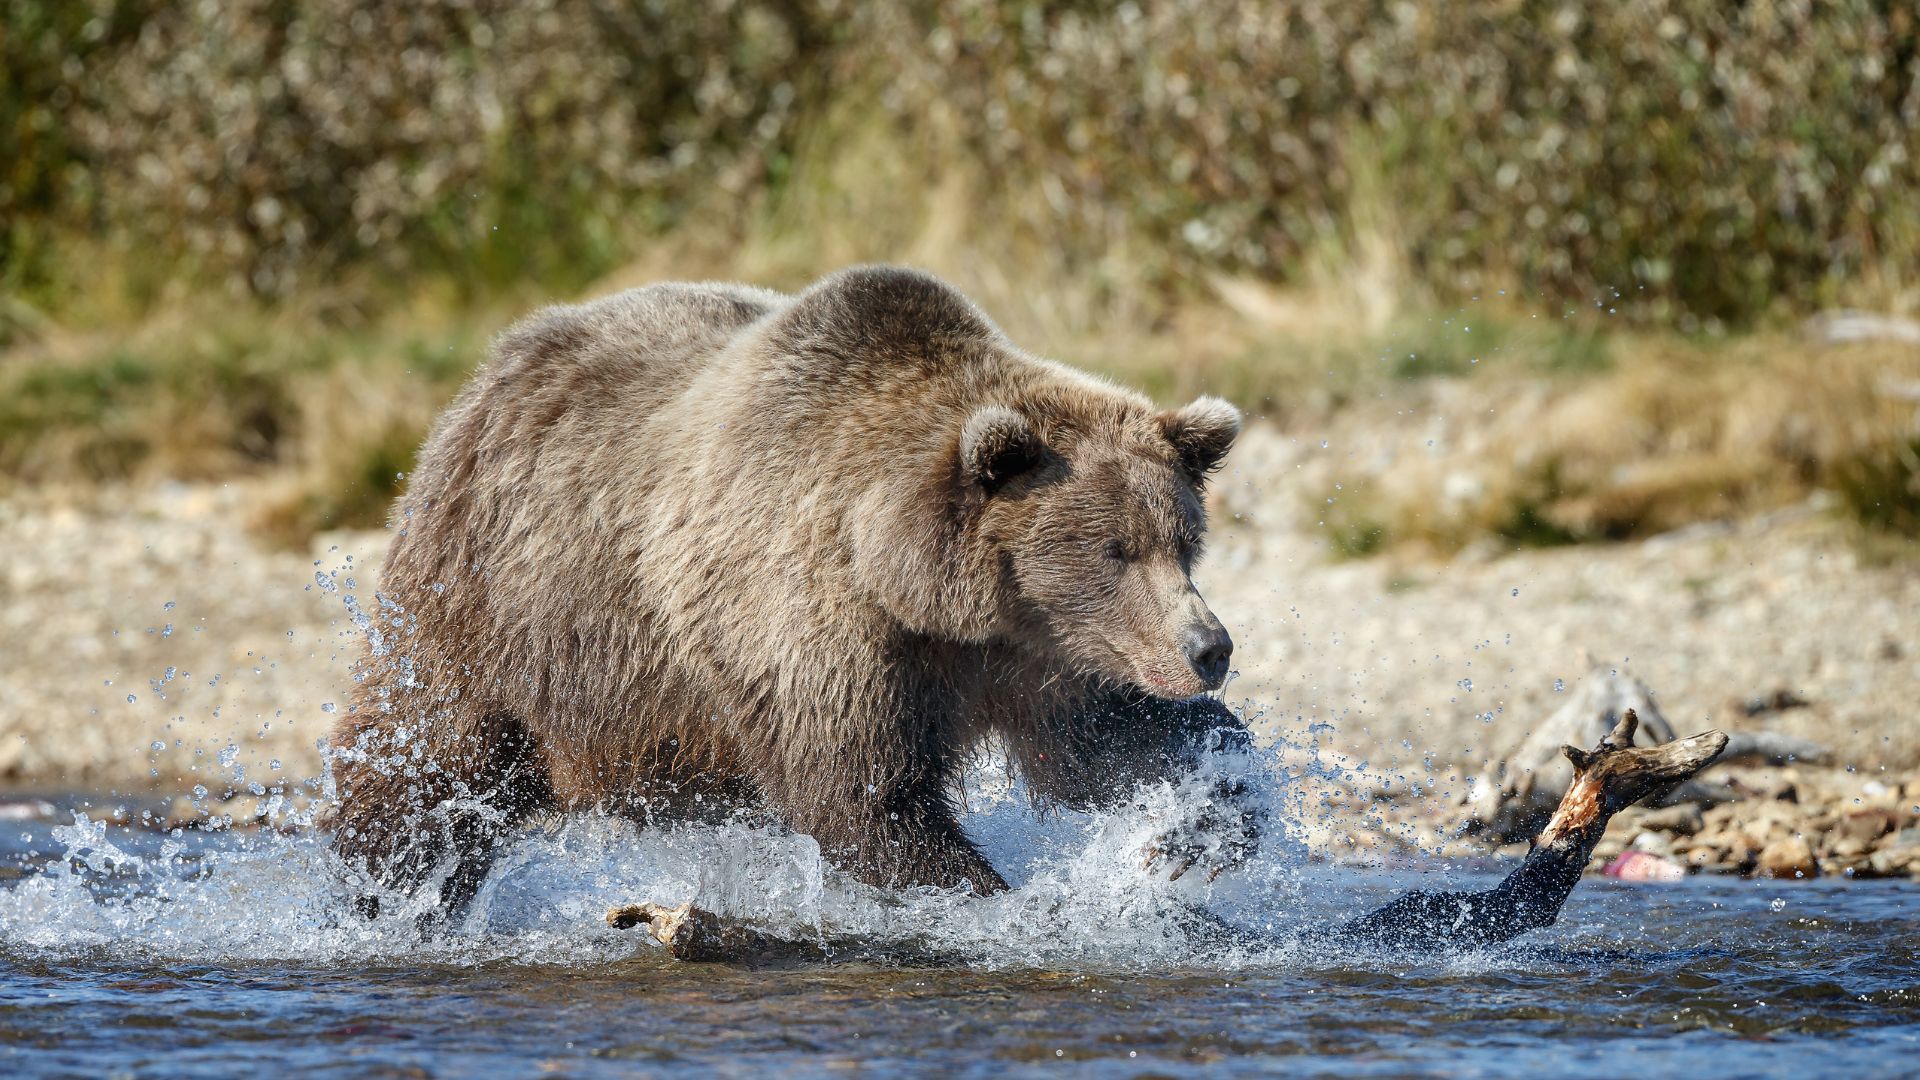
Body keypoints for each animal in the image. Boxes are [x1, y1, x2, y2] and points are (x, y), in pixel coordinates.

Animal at [326, 265, 1261, 913]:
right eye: (1112, 549)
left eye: (1183, 542)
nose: (1209, 649)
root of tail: (491, 373)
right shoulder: (814, 619)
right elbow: (863, 796)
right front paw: (1002, 898)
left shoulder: (1047, 656)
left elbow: (1112, 745)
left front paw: (1201, 827)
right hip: (489, 606)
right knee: (423, 773)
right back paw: (386, 901)